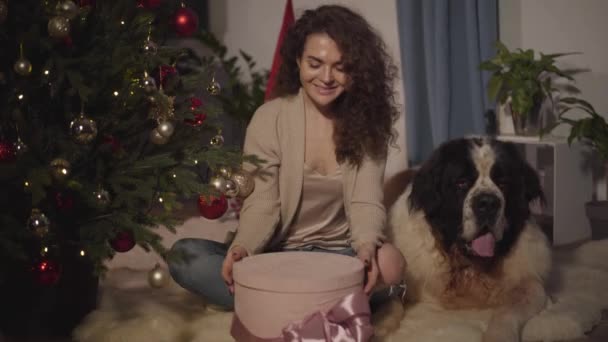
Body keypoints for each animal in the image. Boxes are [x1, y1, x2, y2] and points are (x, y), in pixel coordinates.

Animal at [380, 138, 552, 340]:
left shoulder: (529, 281)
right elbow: (391, 299)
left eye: (503, 184)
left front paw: (499, 335)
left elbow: (508, 311)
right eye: (461, 183)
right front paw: (379, 325)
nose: (488, 203)